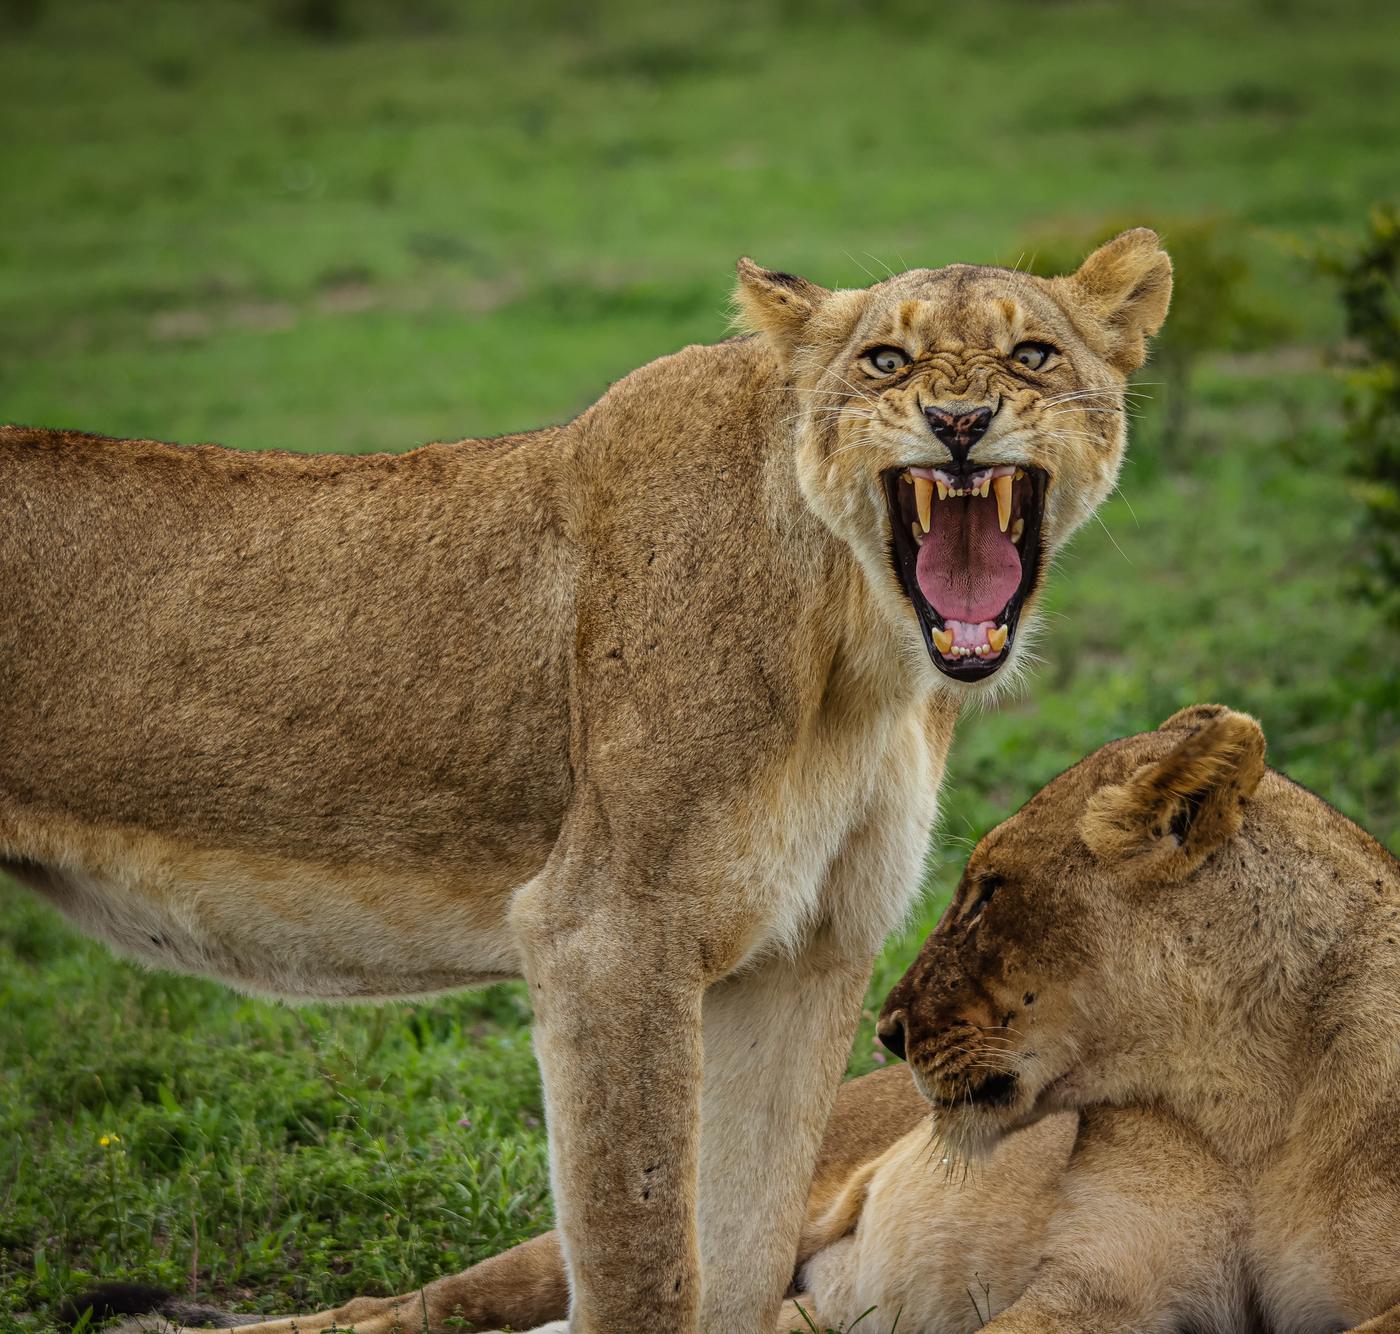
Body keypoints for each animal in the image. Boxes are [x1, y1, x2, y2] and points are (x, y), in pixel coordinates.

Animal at [6, 230, 1171, 1334]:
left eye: (1032, 354)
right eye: (886, 359)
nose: (960, 421)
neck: (857, 649)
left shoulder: (809, 950)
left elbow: (741, 1258)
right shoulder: (608, 931)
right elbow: (641, 1259)